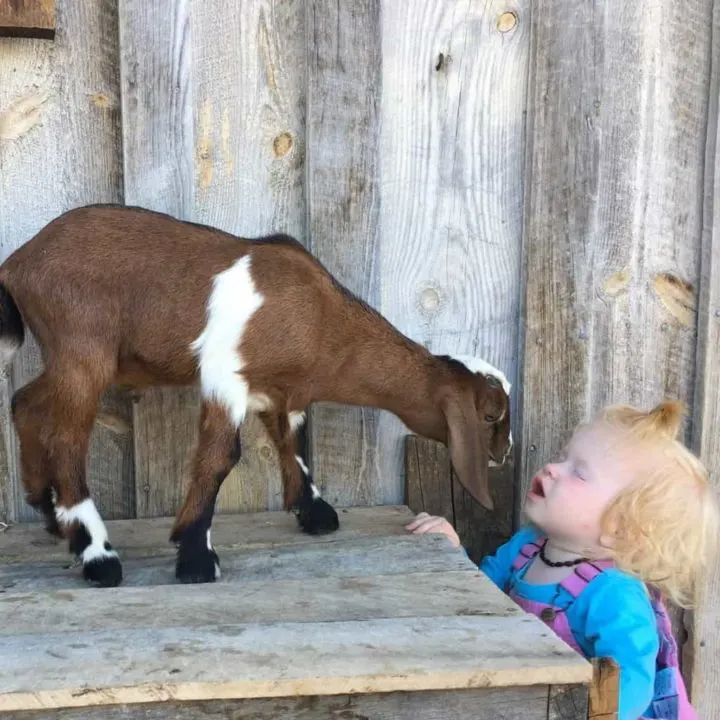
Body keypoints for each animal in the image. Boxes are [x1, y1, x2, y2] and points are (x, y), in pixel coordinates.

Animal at [0, 205, 512, 588]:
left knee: (26, 402)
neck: (322, 318)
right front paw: (195, 556)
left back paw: (50, 513)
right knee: (66, 439)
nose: (504, 454)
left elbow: (293, 441)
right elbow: (220, 458)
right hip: (84, 351)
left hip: (71, 358)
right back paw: (97, 554)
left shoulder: (280, 391)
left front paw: (314, 511)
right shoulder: (227, 375)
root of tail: (17, 263)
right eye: (490, 415)